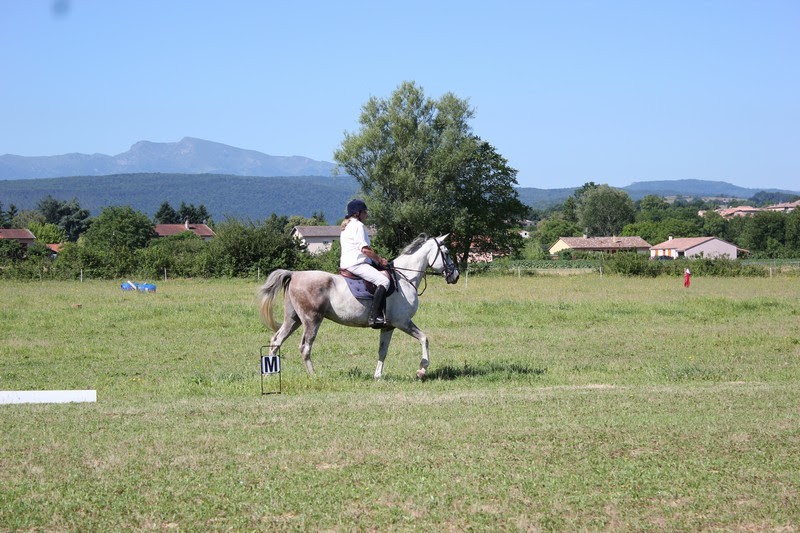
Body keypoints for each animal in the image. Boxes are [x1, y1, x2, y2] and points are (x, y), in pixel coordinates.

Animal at [257, 234, 459, 380]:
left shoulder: (388, 326)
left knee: (276, 340)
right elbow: (424, 339)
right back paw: (314, 375)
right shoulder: (402, 322)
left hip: (293, 320)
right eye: (447, 252)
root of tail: (295, 274)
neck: (404, 278)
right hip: (311, 320)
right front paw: (422, 371)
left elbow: (383, 351)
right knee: (305, 347)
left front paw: (377, 376)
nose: (455, 275)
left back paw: (270, 374)